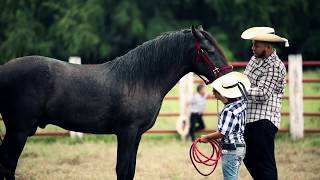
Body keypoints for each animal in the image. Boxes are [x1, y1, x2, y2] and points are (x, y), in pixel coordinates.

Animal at [0, 26, 231, 179]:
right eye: (209, 51)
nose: (228, 75)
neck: (140, 79)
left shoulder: (136, 135)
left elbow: (130, 170)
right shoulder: (127, 132)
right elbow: (123, 170)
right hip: (18, 130)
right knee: (8, 165)